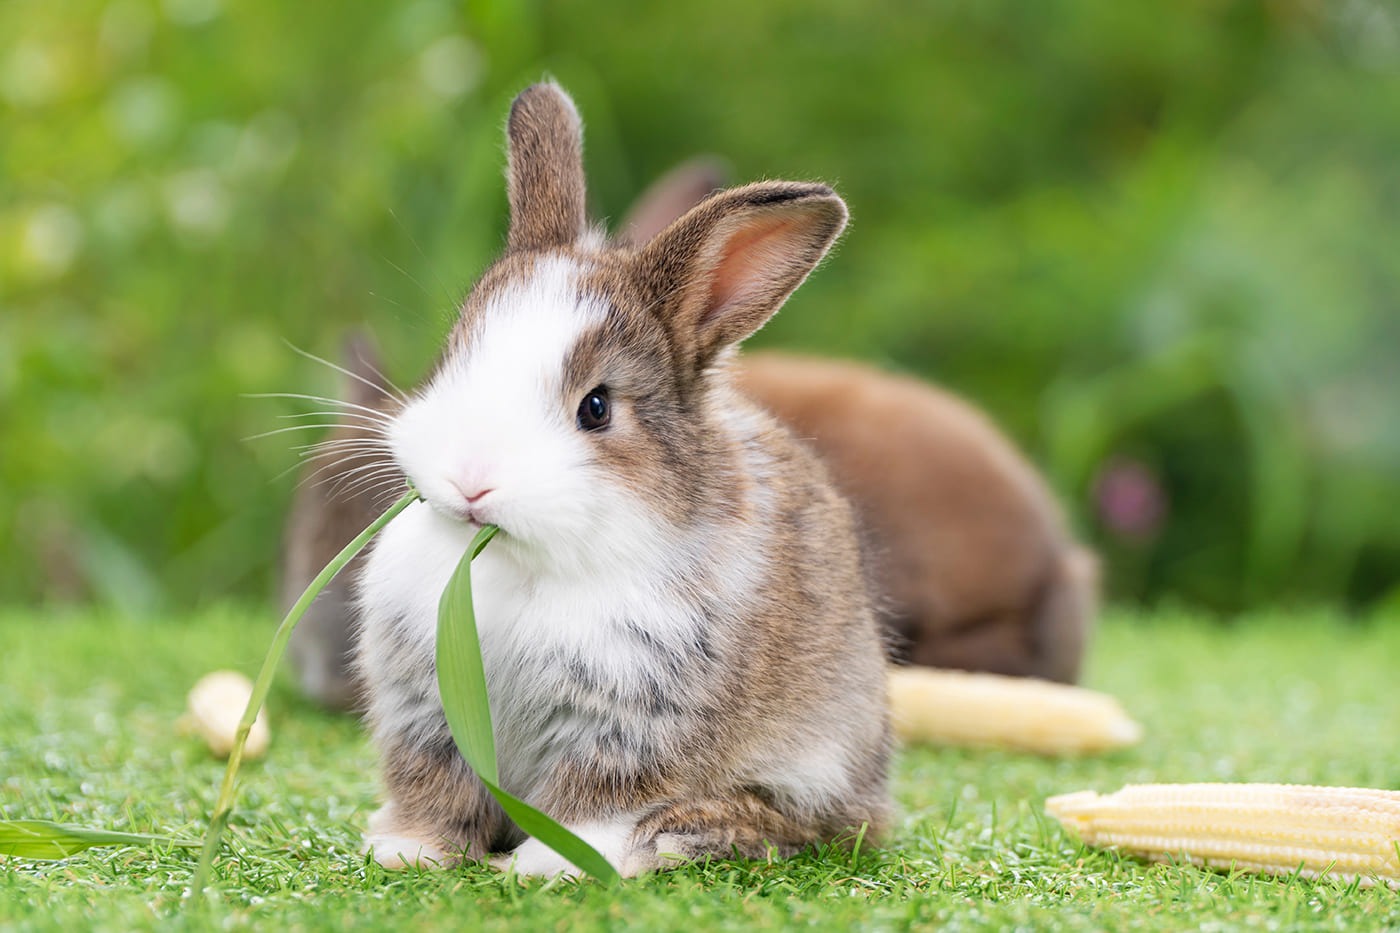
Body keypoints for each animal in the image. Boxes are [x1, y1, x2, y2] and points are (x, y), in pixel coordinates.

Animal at [352, 82, 891, 877]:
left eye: (597, 407)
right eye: (452, 359)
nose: (470, 480)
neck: (519, 561)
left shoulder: (629, 723)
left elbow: (589, 803)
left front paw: (549, 867)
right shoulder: (426, 714)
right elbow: (435, 788)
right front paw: (408, 850)